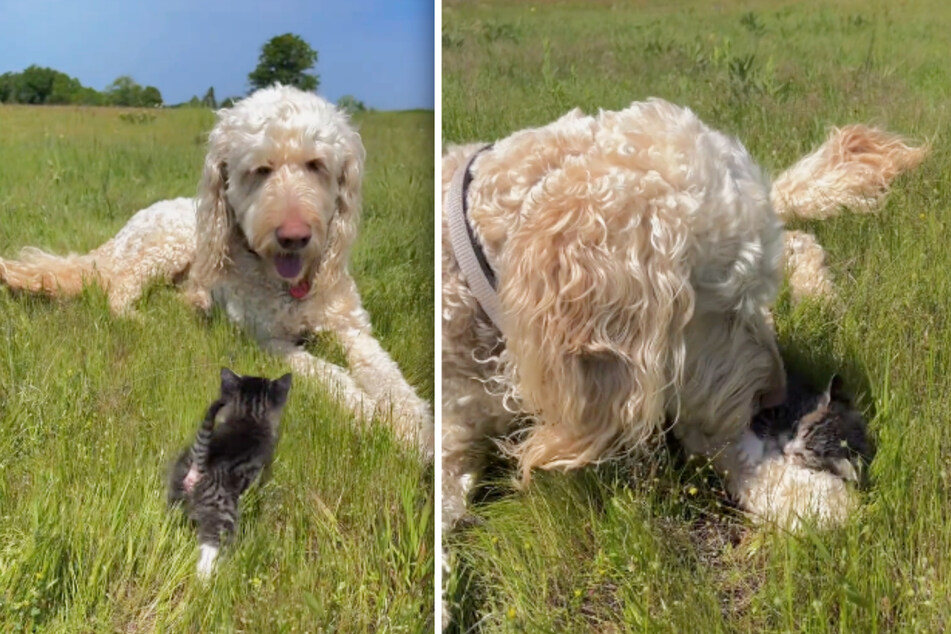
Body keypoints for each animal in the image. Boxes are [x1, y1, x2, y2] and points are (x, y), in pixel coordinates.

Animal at [0, 86, 432, 456]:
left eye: (316, 165)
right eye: (260, 169)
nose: (294, 236)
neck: (290, 286)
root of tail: (122, 232)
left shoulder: (354, 330)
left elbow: (389, 376)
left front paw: (415, 427)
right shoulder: (270, 343)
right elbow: (330, 374)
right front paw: (375, 416)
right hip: (167, 246)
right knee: (118, 291)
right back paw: (142, 318)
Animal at [167, 366, 292, 576]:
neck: (249, 416)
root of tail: (198, 466)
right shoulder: (263, 471)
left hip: (176, 499)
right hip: (222, 515)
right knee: (209, 553)